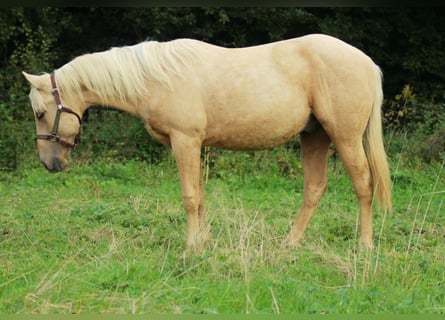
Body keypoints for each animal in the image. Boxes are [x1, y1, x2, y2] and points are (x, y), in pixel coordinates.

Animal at [22, 33, 390, 251]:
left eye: (40, 113)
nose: (48, 164)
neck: (157, 77)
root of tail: (367, 62)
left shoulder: (184, 141)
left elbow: (188, 197)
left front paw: (190, 246)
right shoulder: (193, 145)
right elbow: (199, 195)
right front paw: (204, 240)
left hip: (344, 137)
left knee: (363, 184)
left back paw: (365, 245)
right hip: (315, 136)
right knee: (314, 188)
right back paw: (290, 242)